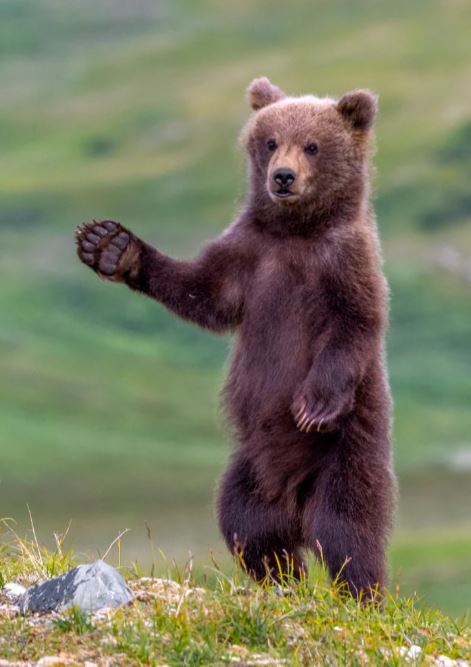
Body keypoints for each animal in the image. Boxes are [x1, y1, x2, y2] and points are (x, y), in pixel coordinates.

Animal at [75, 78, 396, 600]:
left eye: (312, 145)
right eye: (270, 141)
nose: (283, 176)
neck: (296, 232)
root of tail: (293, 501)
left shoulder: (346, 262)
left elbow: (355, 325)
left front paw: (313, 405)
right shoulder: (250, 253)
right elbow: (205, 292)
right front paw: (111, 246)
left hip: (346, 457)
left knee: (347, 533)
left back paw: (361, 594)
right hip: (248, 472)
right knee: (248, 530)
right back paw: (282, 578)